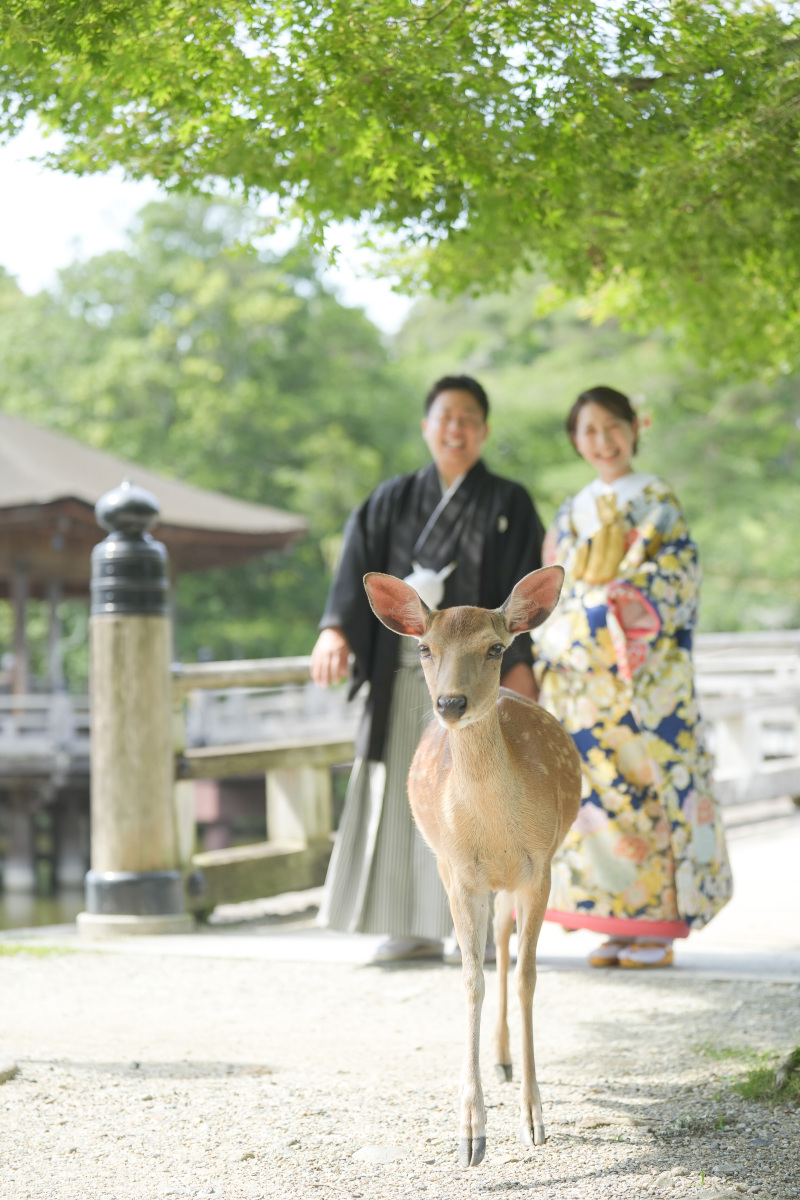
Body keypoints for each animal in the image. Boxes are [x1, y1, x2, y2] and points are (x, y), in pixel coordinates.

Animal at [363, 566, 582, 1168]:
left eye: (495, 647)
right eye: (425, 647)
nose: (451, 702)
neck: (496, 832)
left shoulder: (540, 868)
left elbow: (529, 976)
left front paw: (533, 1119)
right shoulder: (460, 874)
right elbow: (468, 978)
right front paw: (470, 1132)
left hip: (517, 880)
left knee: (505, 947)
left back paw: (507, 1062)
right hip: (454, 868)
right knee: (493, 950)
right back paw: (499, 1063)